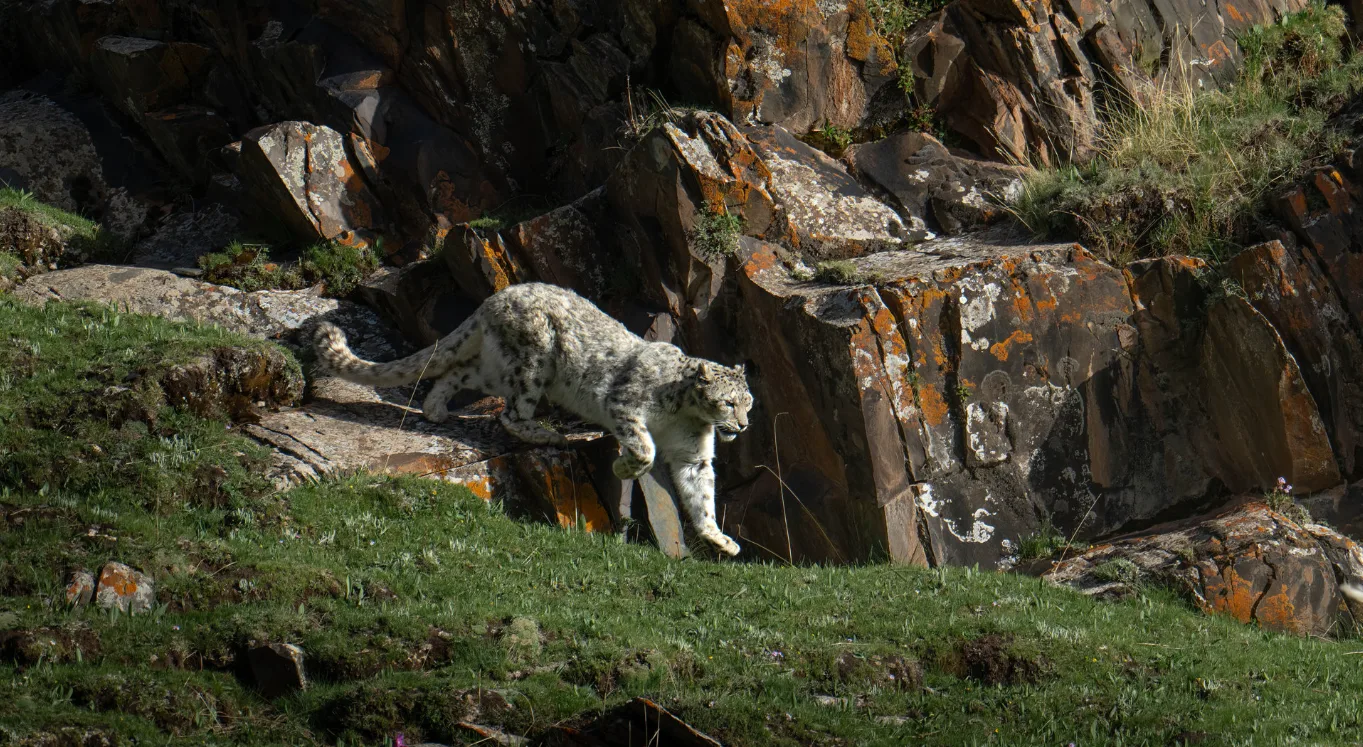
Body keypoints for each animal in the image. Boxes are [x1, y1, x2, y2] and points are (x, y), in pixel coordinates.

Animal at [313, 282, 752, 556]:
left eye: (749, 401)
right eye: (728, 403)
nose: (745, 425)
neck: (684, 415)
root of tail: (497, 297)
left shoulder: (694, 453)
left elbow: (701, 493)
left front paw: (719, 539)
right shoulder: (624, 405)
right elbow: (644, 447)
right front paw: (622, 468)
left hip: (497, 367)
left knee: (457, 372)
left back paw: (435, 409)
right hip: (533, 361)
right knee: (509, 412)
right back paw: (546, 435)